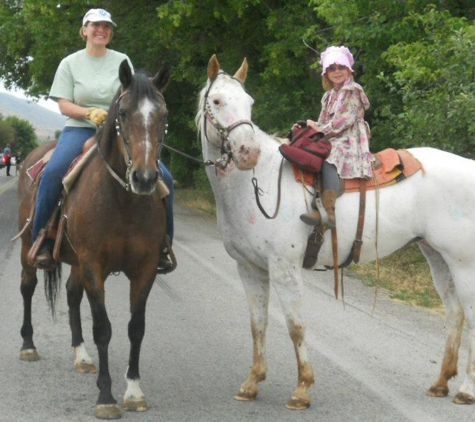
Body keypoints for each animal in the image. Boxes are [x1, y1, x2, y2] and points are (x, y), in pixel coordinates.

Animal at [17, 59, 172, 418]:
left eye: (164, 115)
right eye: (123, 114)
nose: (145, 178)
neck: (122, 199)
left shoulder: (144, 268)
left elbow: (136, 328)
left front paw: (134, 391)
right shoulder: (93, 265)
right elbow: (103, 328)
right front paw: (106, 396)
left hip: (75, 261)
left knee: (72, 295)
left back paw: (81, 355)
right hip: (29, 248)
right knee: (28, 287)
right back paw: (28, 345)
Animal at [196, 54, 475, 410]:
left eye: (249, 102)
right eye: (217, 101)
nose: (248, 153)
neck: (256, 185)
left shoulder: (284, 268)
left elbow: (295, 326)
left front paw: (302, 389)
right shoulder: (249, 268)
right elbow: (258, 324)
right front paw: (252, 383)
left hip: (464, 263)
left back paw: (466, 389)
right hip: (437, 257)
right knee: (454, 313)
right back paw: (440, 383)